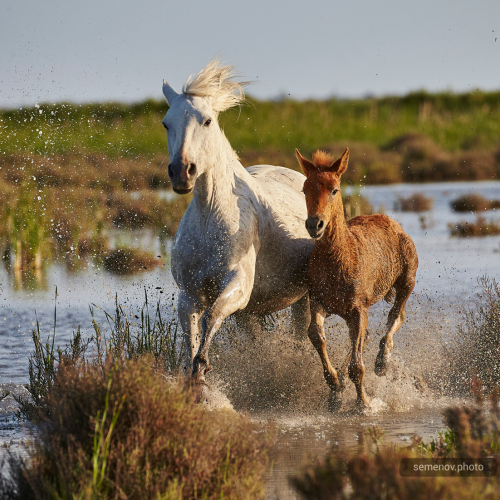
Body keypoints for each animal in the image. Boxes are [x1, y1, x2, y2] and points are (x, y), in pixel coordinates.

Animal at [163, 58, 312, 396]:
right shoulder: (189, 294)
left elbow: (211, 317)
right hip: (250, 314)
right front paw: (193, 378)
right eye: (166, 123)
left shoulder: (238, 285)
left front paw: (202, 368)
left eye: (206, 121)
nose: (182, 171)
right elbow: (192, 331)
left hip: (305, 298)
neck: (210, 215)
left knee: (302, 335)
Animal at [296, 147, 418, 410]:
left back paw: (382, 362)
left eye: (334, 189)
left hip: (407, 280)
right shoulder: (320, 300)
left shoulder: (359, 308)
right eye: (305, 189)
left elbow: (357, 366)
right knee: (368, 334)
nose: (314, 224)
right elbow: (315, 335)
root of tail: (394, 224)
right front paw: (334, 382)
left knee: (396, 315)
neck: (337, 260)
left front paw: (365, 404)